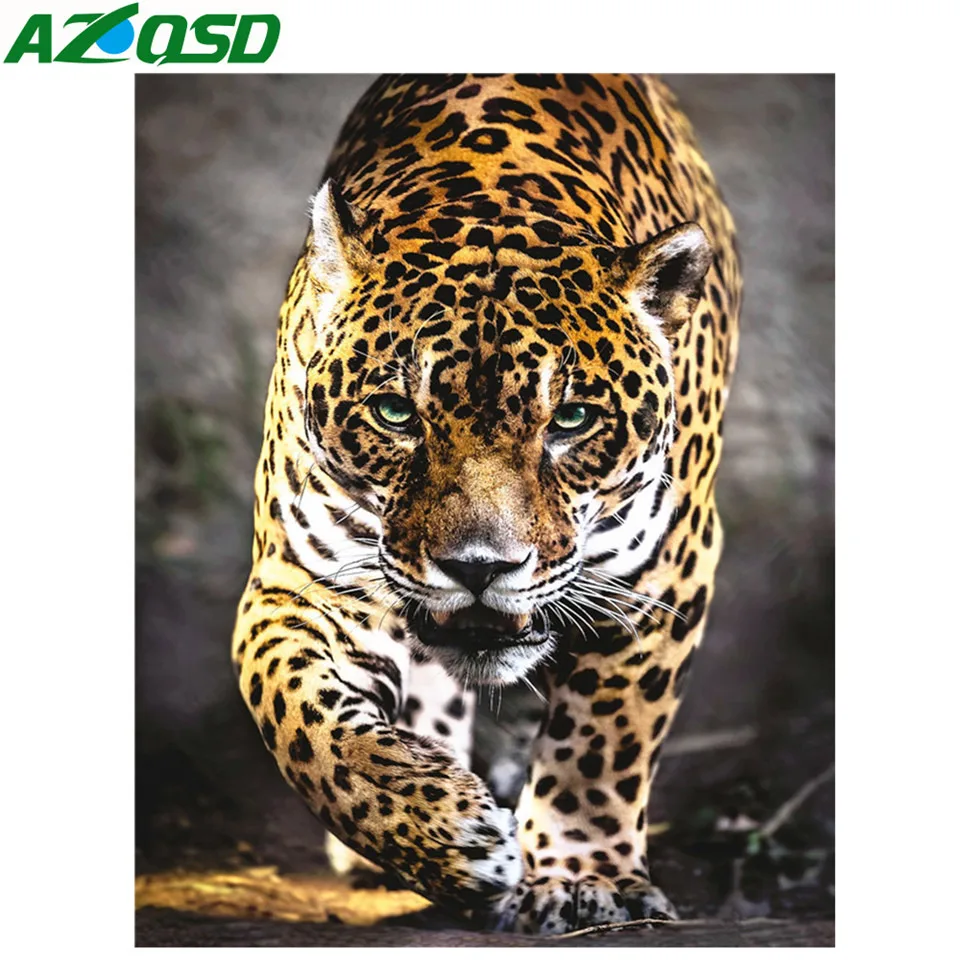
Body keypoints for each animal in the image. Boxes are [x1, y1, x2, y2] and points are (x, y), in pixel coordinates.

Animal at [231, 73, 741, 934]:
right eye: (395, 414)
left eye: (571, 420)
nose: (479, 568)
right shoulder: (302, 581)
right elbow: (300, 718)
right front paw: (442, 833)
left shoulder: (662, 573)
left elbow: (603, 741)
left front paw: (584, 878)